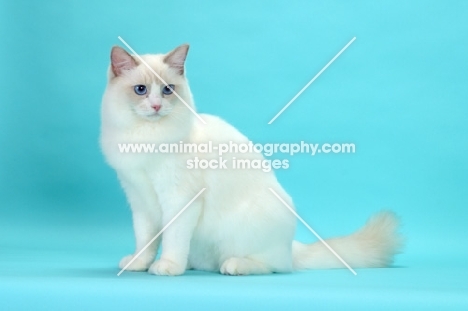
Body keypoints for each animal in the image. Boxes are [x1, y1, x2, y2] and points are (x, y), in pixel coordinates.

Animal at [100, 44, 404, 278]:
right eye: (141, 89)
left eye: (167, 90)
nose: (156, 106)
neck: (145, 138)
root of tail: (291, 247)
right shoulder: (140, 199)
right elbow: (146, 239)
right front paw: (139, 263)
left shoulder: (178, 199)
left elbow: (173, 239)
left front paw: (167, 267)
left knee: (274, 267)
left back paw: (234, 266)